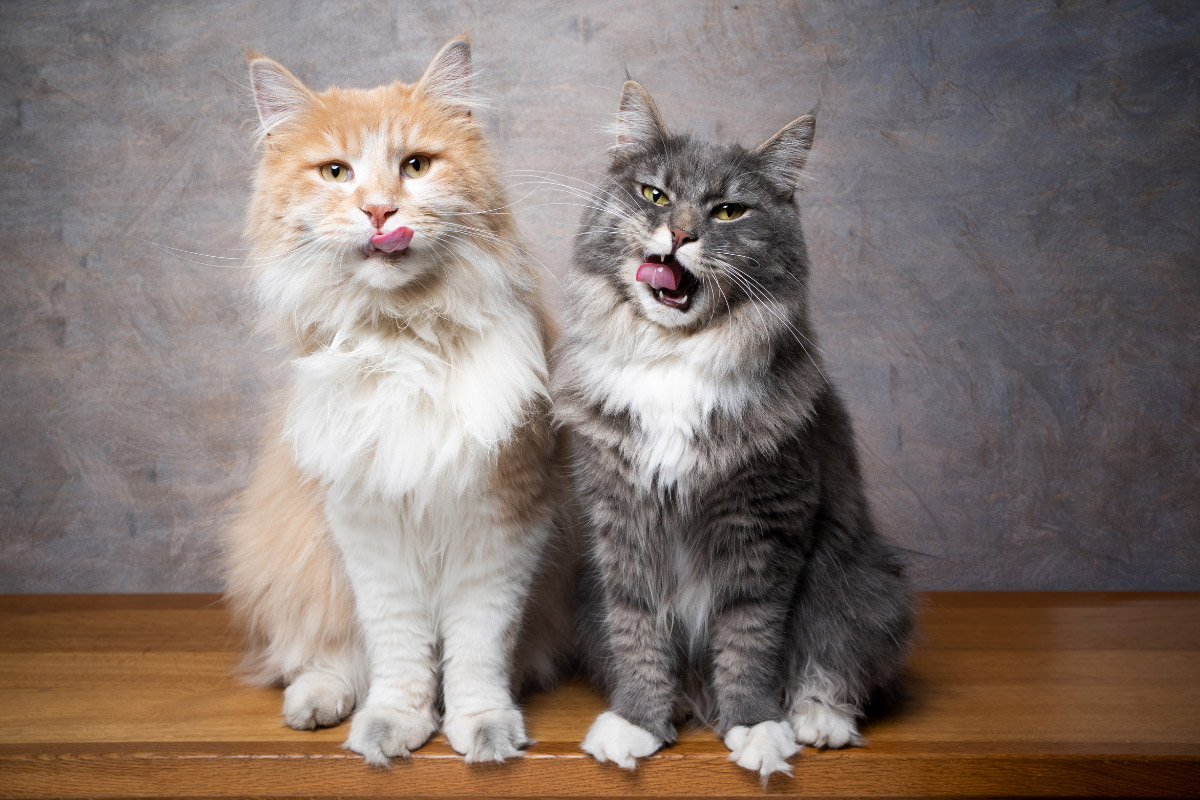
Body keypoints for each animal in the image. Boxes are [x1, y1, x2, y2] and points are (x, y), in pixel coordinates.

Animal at [224, 40, 561, 767]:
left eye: (415, 166)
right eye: (336, 172)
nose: (380, 212)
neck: (404, 337)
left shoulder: (502, 519)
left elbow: (475, 650)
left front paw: (482, 726)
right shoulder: (367, 523)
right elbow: (398, 652)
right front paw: (393, 725)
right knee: (325, 655)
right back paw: (317, 702)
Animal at [549, 84, 907, 777]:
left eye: (729, 211)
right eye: (655, 195)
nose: (680, 233)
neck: (674, 361)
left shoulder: (764, 527)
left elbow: (750, 642)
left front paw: (757, 730)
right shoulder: (623, 522)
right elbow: (638, 633)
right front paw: (638, 723)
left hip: (860, 581)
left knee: (834, 663)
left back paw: (818, 720)